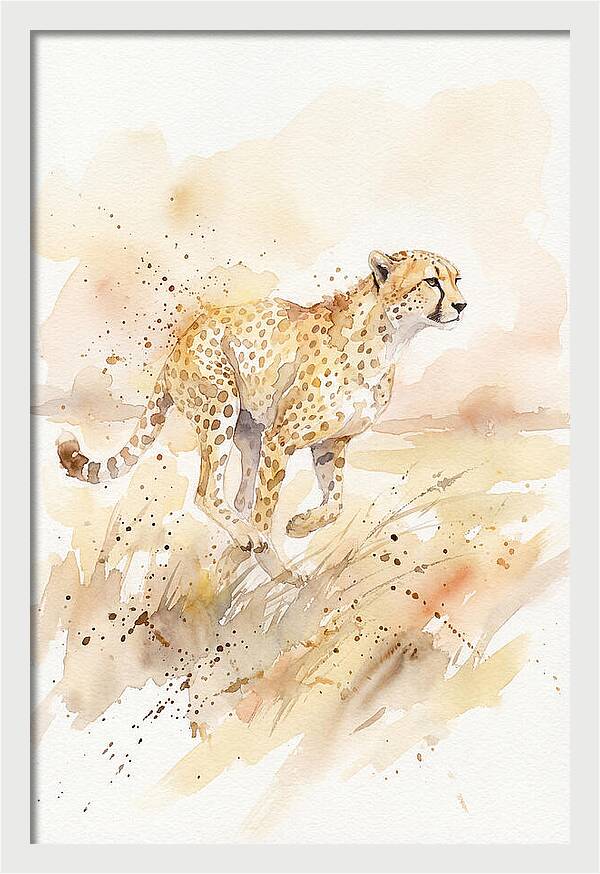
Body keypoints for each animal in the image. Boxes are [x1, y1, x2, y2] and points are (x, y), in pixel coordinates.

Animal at [58, 248, 467, 584]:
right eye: (431, 281)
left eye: (456, 279)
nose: (462, 305)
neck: (389, 339)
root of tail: (182, 341)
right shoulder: (282, 438)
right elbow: (267, 511)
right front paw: (277, 568)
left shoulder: (331, 442)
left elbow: (334, 503)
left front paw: (300, 526)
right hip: (221, 407)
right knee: (208, 492)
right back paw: (245, 538)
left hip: (250, 432)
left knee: (240, 499)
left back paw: (235, 545)